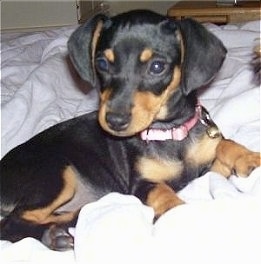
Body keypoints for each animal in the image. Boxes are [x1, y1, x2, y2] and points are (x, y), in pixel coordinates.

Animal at [0, 9, 260, 250]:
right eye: (102, 63)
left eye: (157, 66)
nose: (114, 121)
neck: (167, 133)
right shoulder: (141, 184)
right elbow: (162, 192)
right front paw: (177, 213)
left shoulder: (209, 171)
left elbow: (224, 144)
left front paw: (248, 158)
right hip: (55, 174)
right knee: (12, 223)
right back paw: (54, 235)